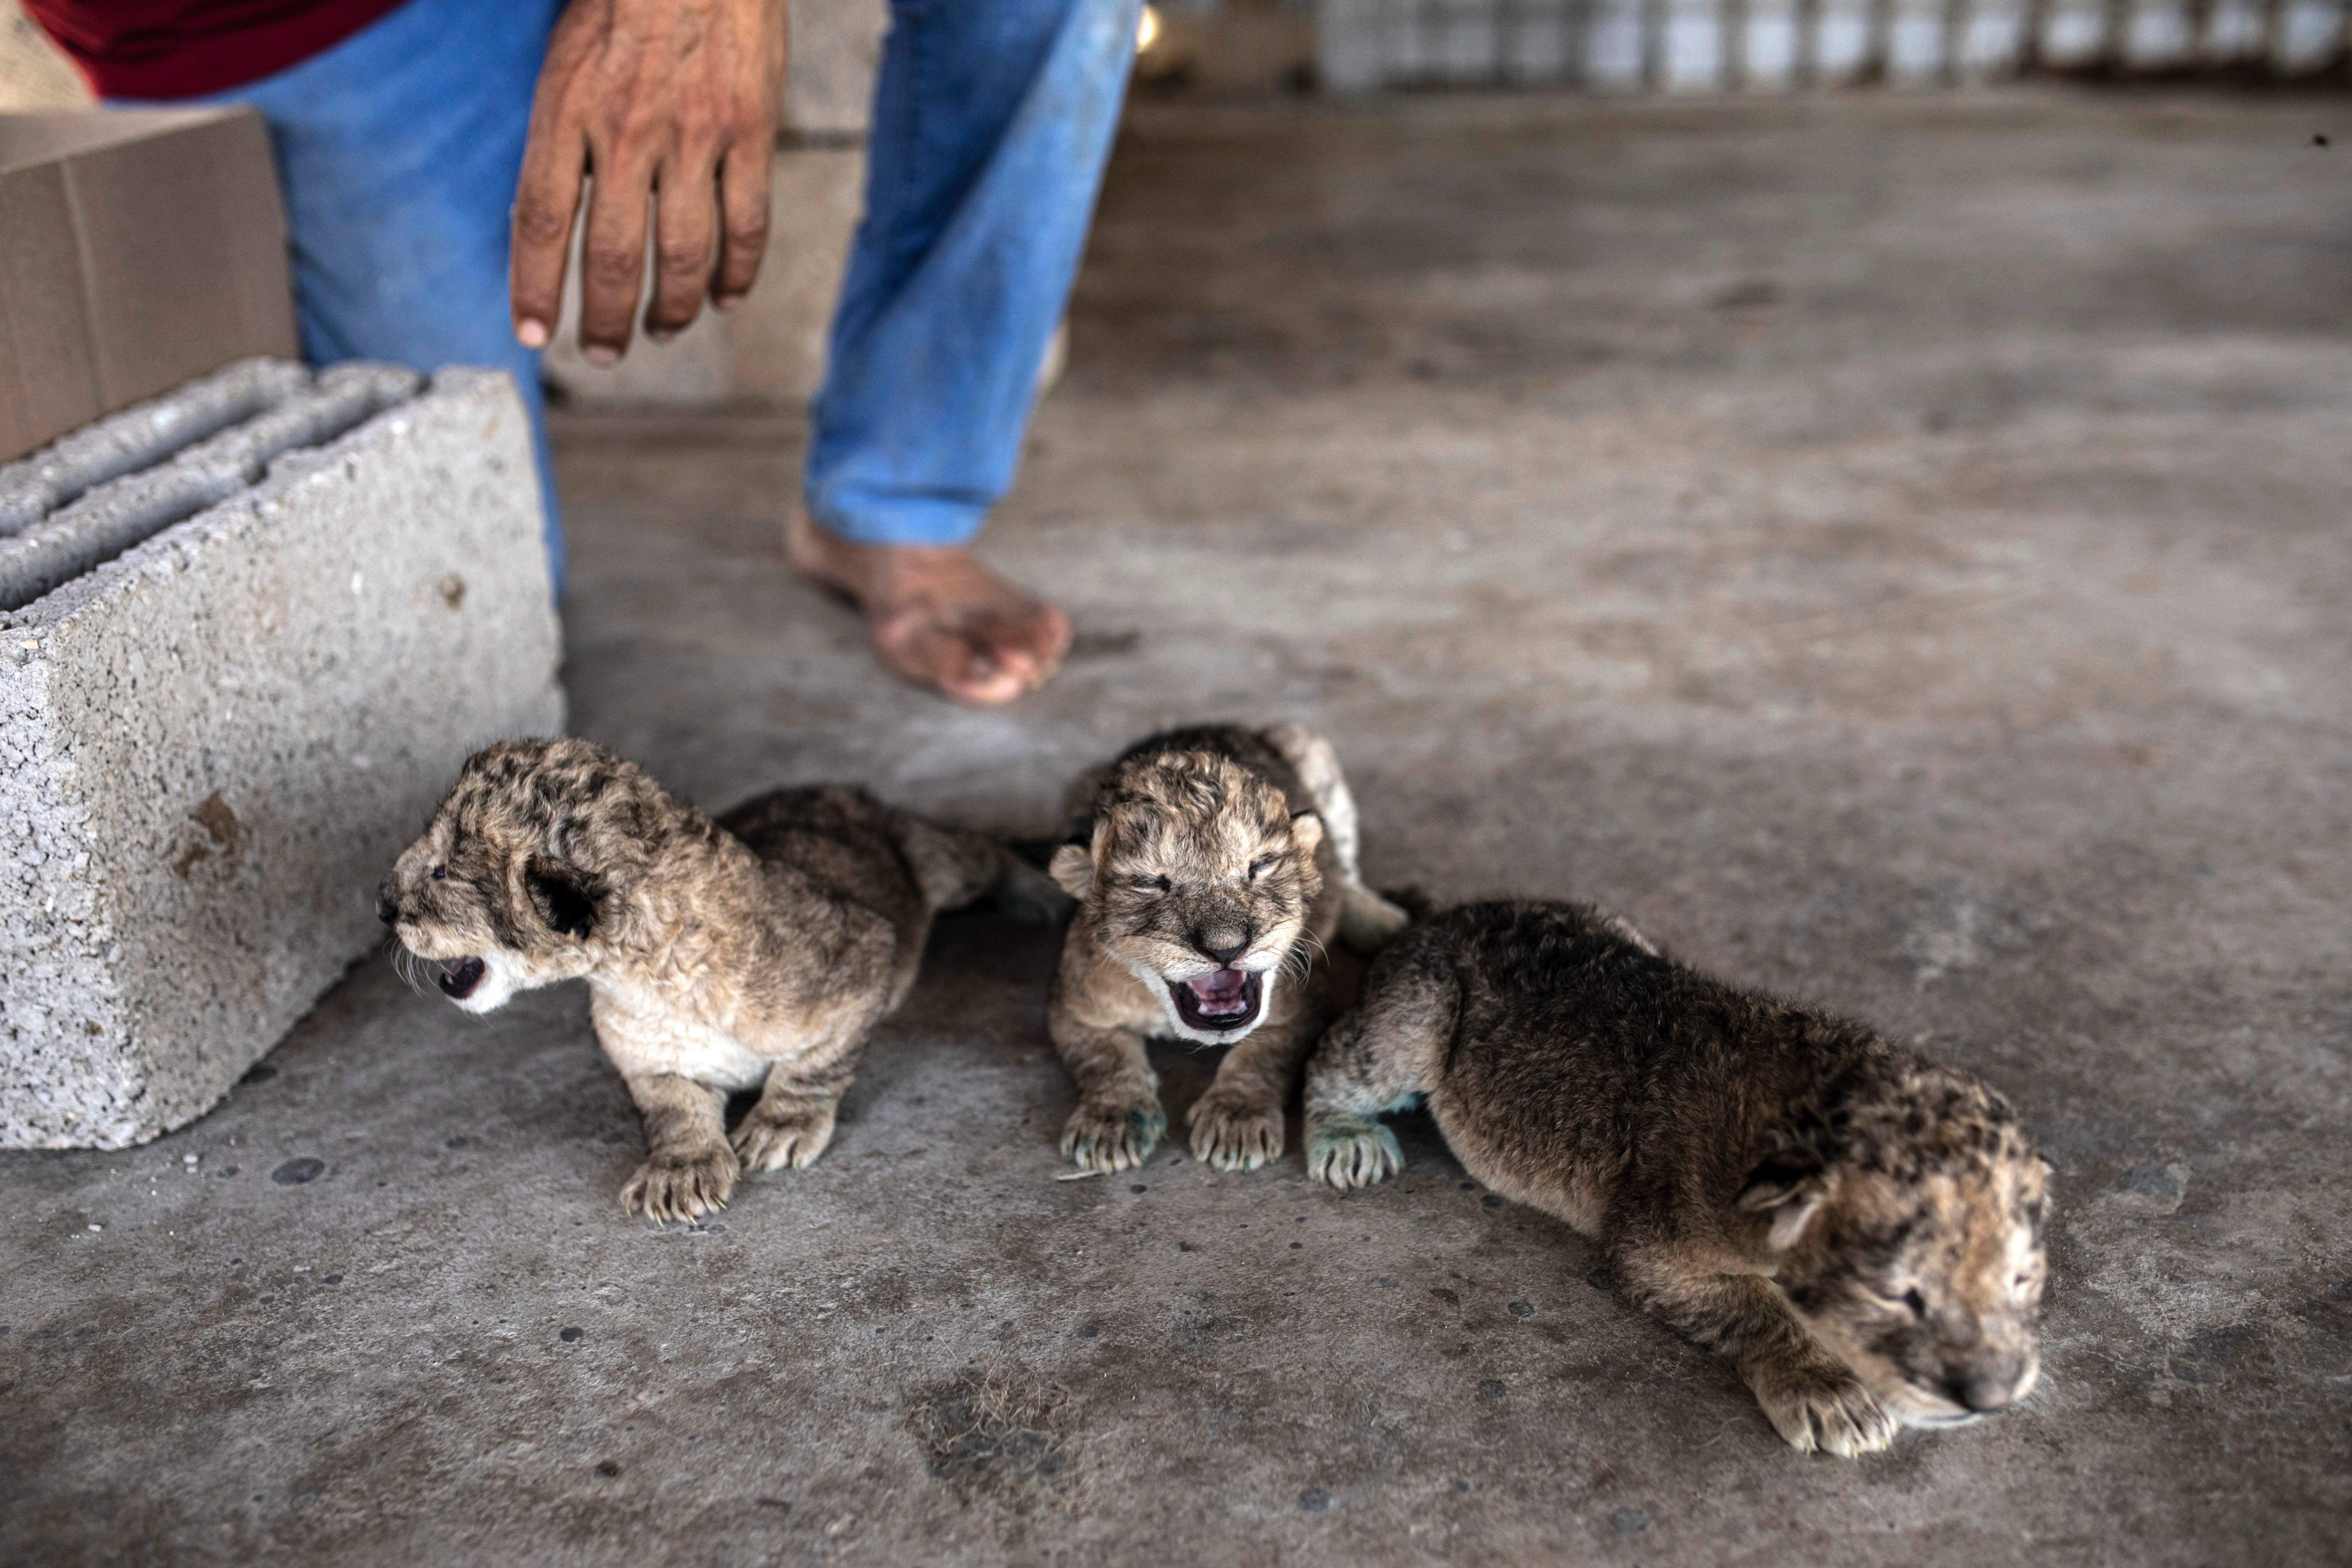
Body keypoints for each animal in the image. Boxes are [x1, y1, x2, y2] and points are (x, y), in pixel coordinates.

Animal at [379, 738, 1064, 1222]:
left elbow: (814, 1068)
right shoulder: (640, 1056)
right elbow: (670, 1106)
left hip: (933, 865)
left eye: (440, 871)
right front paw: (682, 1169)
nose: (381, 904)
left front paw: (781, 1127)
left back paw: (1041, 893)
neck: (644, 978)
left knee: (980, 848)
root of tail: (834, 786)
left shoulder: (865, 953)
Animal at [1045, 723, 1411, 1173]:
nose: (1226, 949)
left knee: (1344, 869)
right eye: (1152, 882)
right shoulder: (1073, 1005)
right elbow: (1104, 1061)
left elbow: (1262, 1054)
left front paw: (1236, 1121)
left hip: (1303, 741)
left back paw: (1383, 922)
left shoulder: (1302, 1000)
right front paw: (1110, 1123)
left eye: (1261, 866)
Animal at [1304, 899, 2050, 1456]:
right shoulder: (1653, 1244)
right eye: (1901, 1297)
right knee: (1334, 1061)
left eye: (2021, 1281)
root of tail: (1444, 913)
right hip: (1419, 1010)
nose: (1993, 1397)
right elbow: (1754, 1306)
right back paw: (1345, 1137)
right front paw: (1829, 1390)